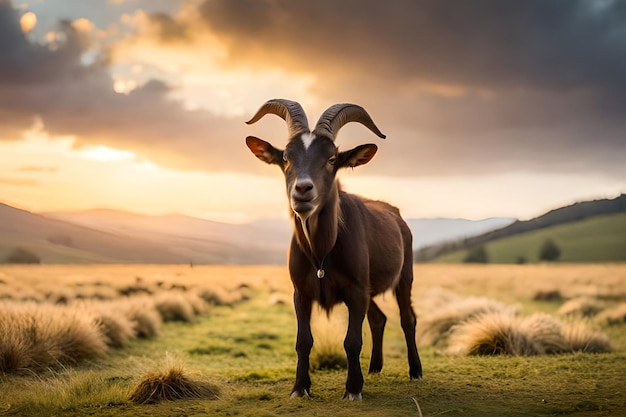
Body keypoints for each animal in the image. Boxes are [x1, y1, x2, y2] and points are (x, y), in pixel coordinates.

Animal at [244, 98, 420, 400]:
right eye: (286, 157)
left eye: (331, 159)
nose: (303, 190)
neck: (321, 254)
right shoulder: (301, 292)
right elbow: (303, 340)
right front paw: (300, 387)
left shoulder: (356, 290)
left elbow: (352, 341)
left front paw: (353, 389)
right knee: (378, 318)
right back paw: (375, 368)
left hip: (404, 275)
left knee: (408, 318)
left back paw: (415, 371)